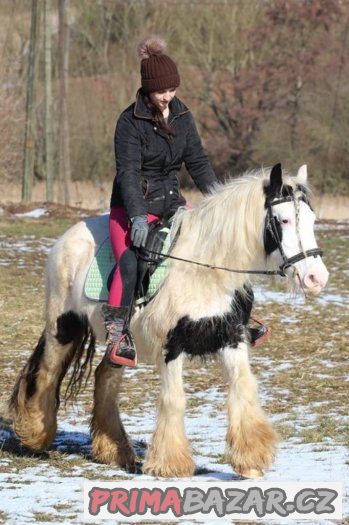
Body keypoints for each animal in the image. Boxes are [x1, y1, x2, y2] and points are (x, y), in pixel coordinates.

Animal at [9, 165, 328, 478]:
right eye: (283, 220)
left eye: (312, 219)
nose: (316, 278)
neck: (206, 271)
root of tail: (67, 238)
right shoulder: (172, 346)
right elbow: (174, 399)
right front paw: (170, 465)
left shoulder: (232, 338)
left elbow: (243, 387)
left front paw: (251, 462)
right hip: (63, 326)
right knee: (47, 374)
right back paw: (35, 436)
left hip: (120, 344)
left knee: (105, 377)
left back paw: (115, 452)